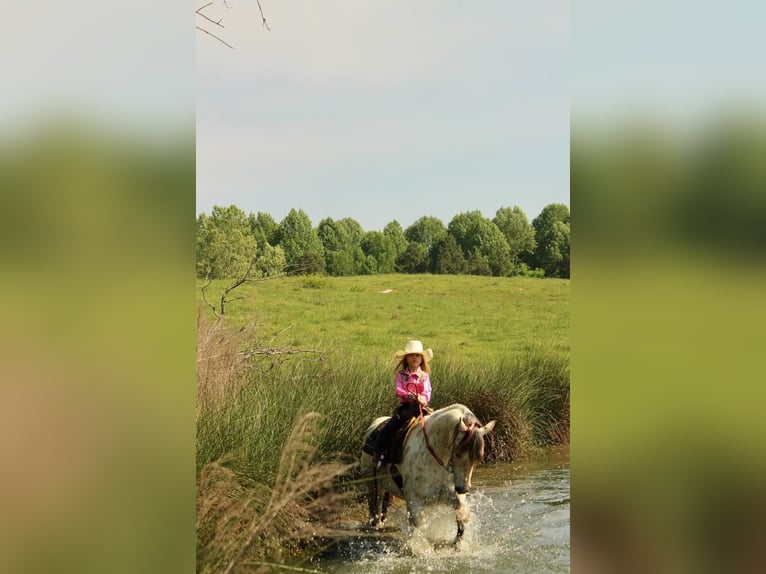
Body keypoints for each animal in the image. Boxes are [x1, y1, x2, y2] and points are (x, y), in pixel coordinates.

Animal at [362, 402, 498, 548]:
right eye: (458, 453)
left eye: (478, 458)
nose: (464, 489)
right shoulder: (414, 498)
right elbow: (421, 527)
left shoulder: (446, 494)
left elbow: (461, 514)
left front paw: (458, 544)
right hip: (373, 486)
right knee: (375, 507)